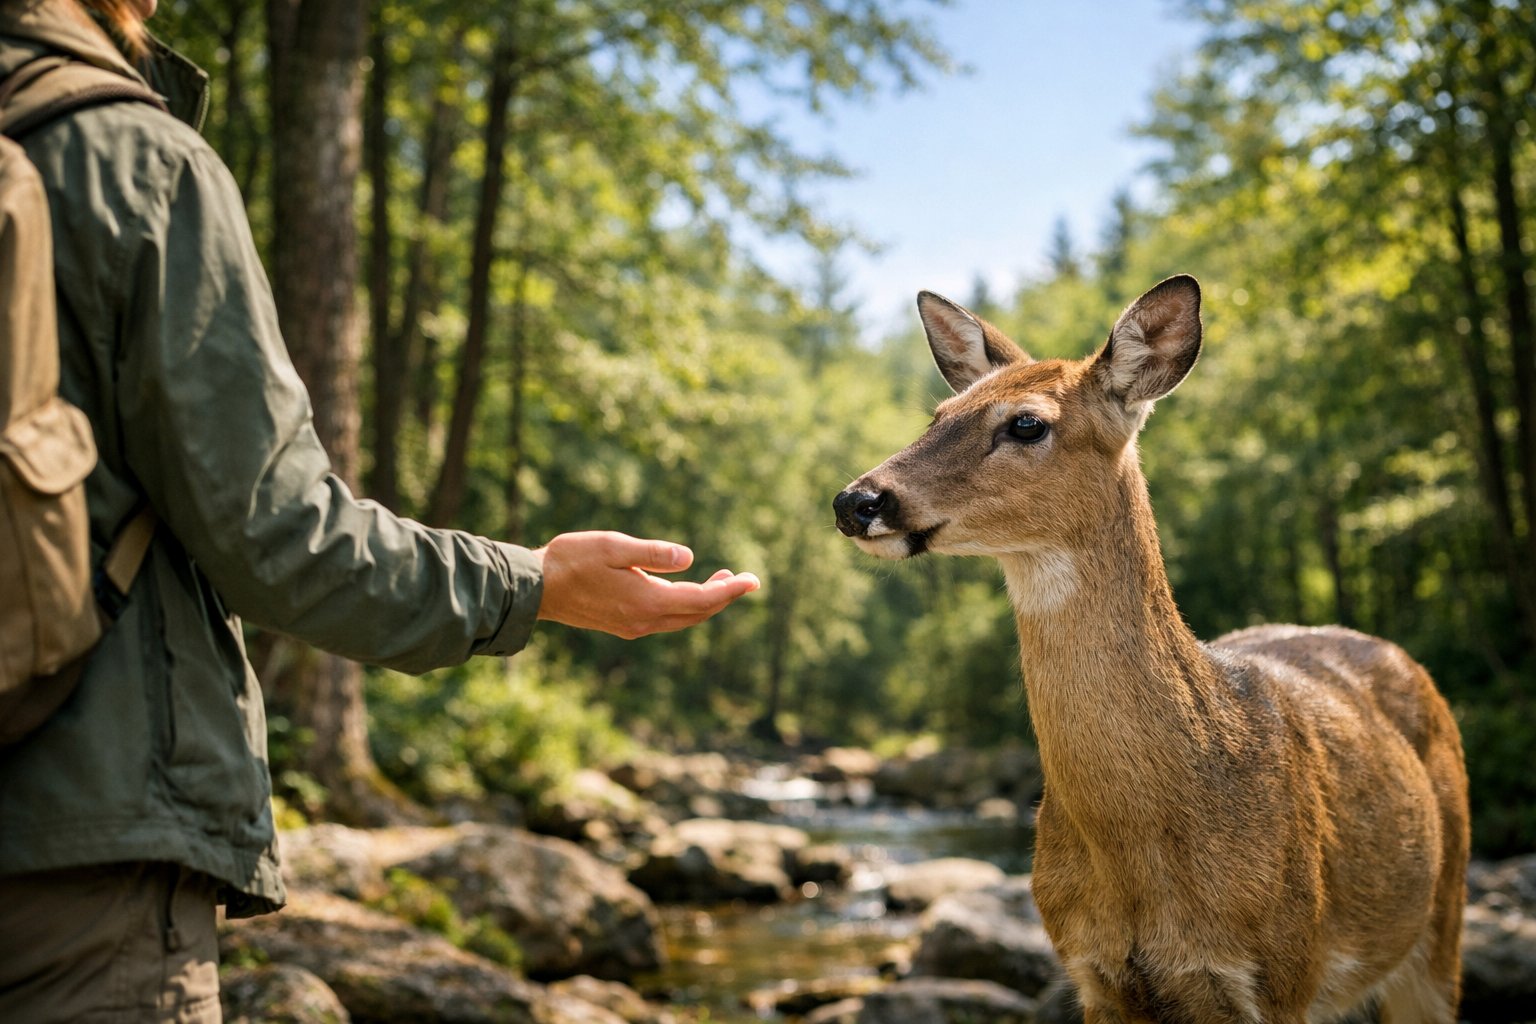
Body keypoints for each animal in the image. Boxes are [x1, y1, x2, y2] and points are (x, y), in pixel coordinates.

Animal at [833, 276, 1469, 1023]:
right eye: (937, 415)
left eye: (1026, 424)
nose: (857, 501)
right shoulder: (1096, 976)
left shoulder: (1286, 972)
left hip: (1439, 926)